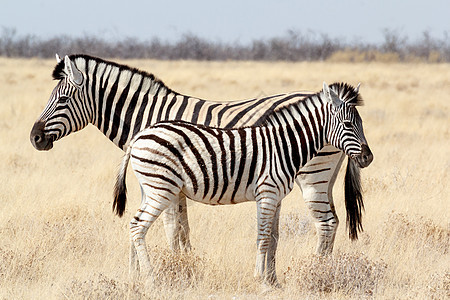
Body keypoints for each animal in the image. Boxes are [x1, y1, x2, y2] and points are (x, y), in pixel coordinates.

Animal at [114, 81, 374, 284]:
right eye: (349, 125)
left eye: (362, 123)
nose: (368, 158)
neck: (283, 146)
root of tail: (139, 135)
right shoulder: (267, 193)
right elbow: (263, 236)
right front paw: (260, 279)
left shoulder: (275, 196)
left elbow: (272, 237)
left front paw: (271, 281)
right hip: (161, 189)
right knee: (138, 226)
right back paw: (150, 278)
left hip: (151, 188)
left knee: (134, 225)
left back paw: (137, 277)